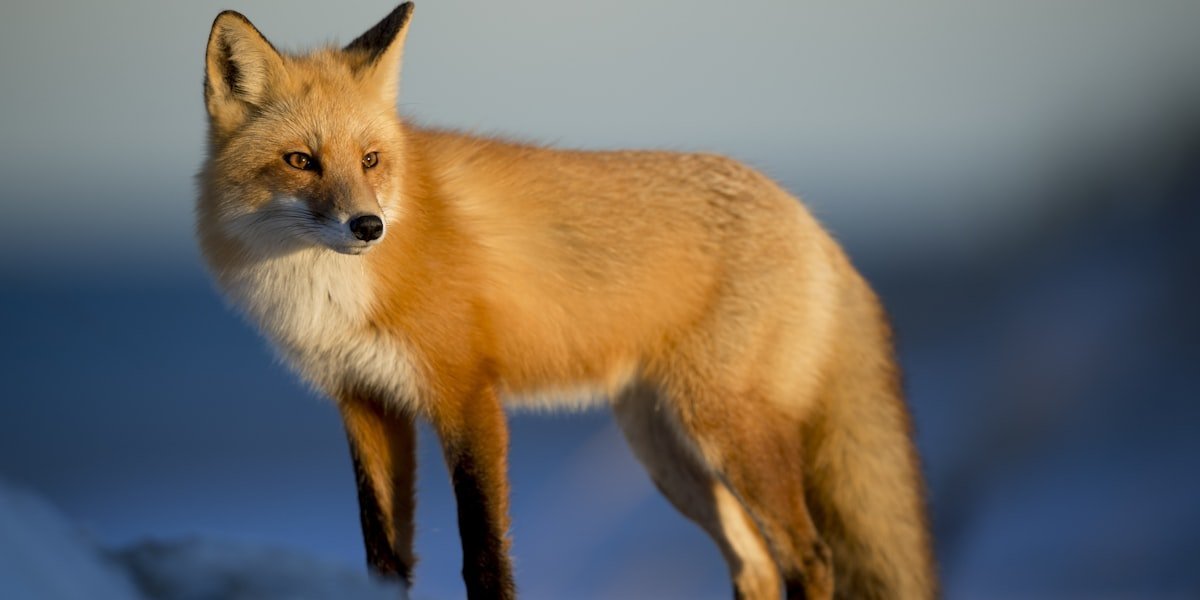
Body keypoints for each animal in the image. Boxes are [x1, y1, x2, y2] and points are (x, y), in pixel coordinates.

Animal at [197, 3, 935, 599]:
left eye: (371, 160)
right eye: (301, 161)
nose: (368, 227)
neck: (331, 295)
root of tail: (811, 219)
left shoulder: (467, 396)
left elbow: (485, 559)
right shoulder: (366, 403)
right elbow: (383, 559)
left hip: (727, 431)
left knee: (809, 557)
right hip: (667, 452)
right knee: (754, 563)